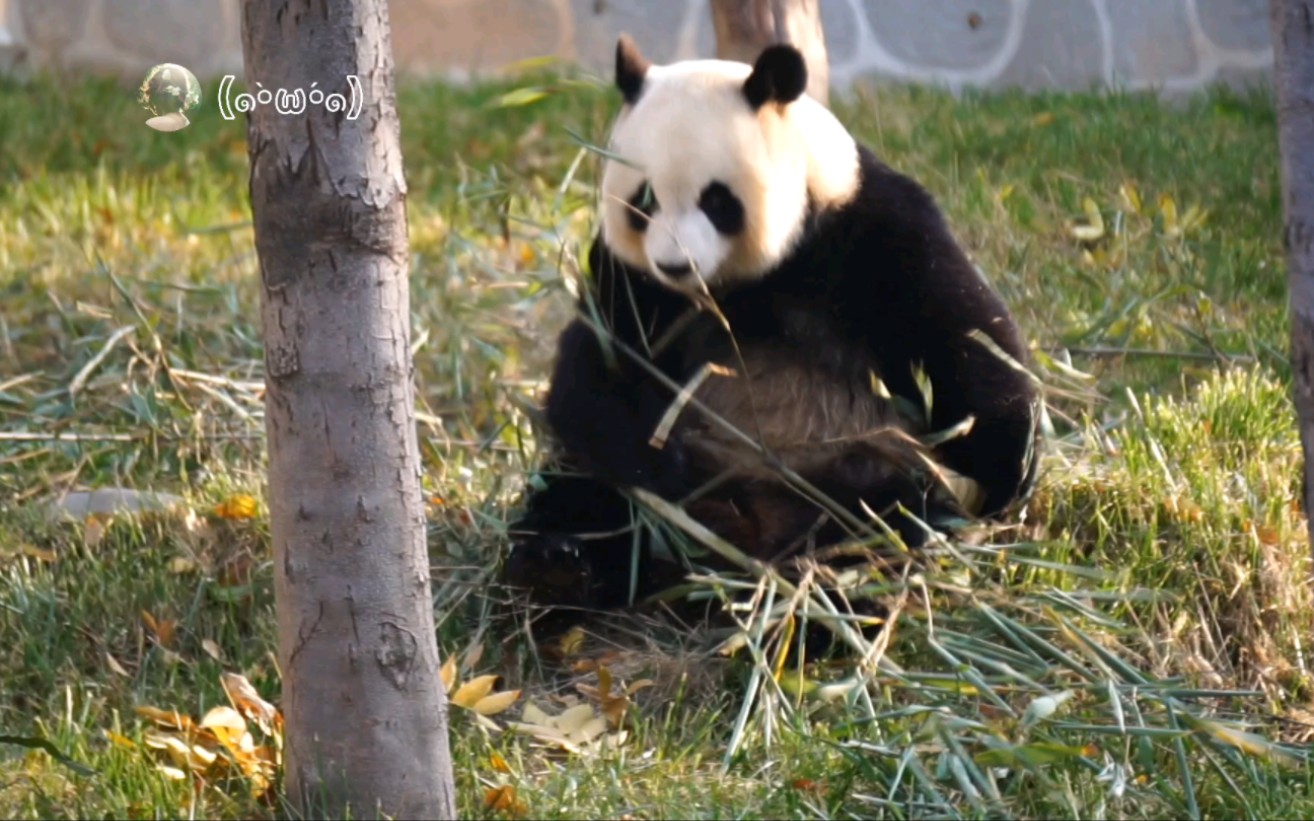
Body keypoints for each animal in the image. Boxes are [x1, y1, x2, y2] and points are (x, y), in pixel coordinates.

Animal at [499, 32, 1035, 620]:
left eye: (716, 201)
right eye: (645, 200)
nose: (675, 264)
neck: (733, 288)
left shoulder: (872, 227)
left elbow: (964, 339)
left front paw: (1001, 481)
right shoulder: (630, 282)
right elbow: (593, 378)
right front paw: (661, 463)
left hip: (844, 469)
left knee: (883, 513)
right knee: (580, 499)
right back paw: (559, 566)